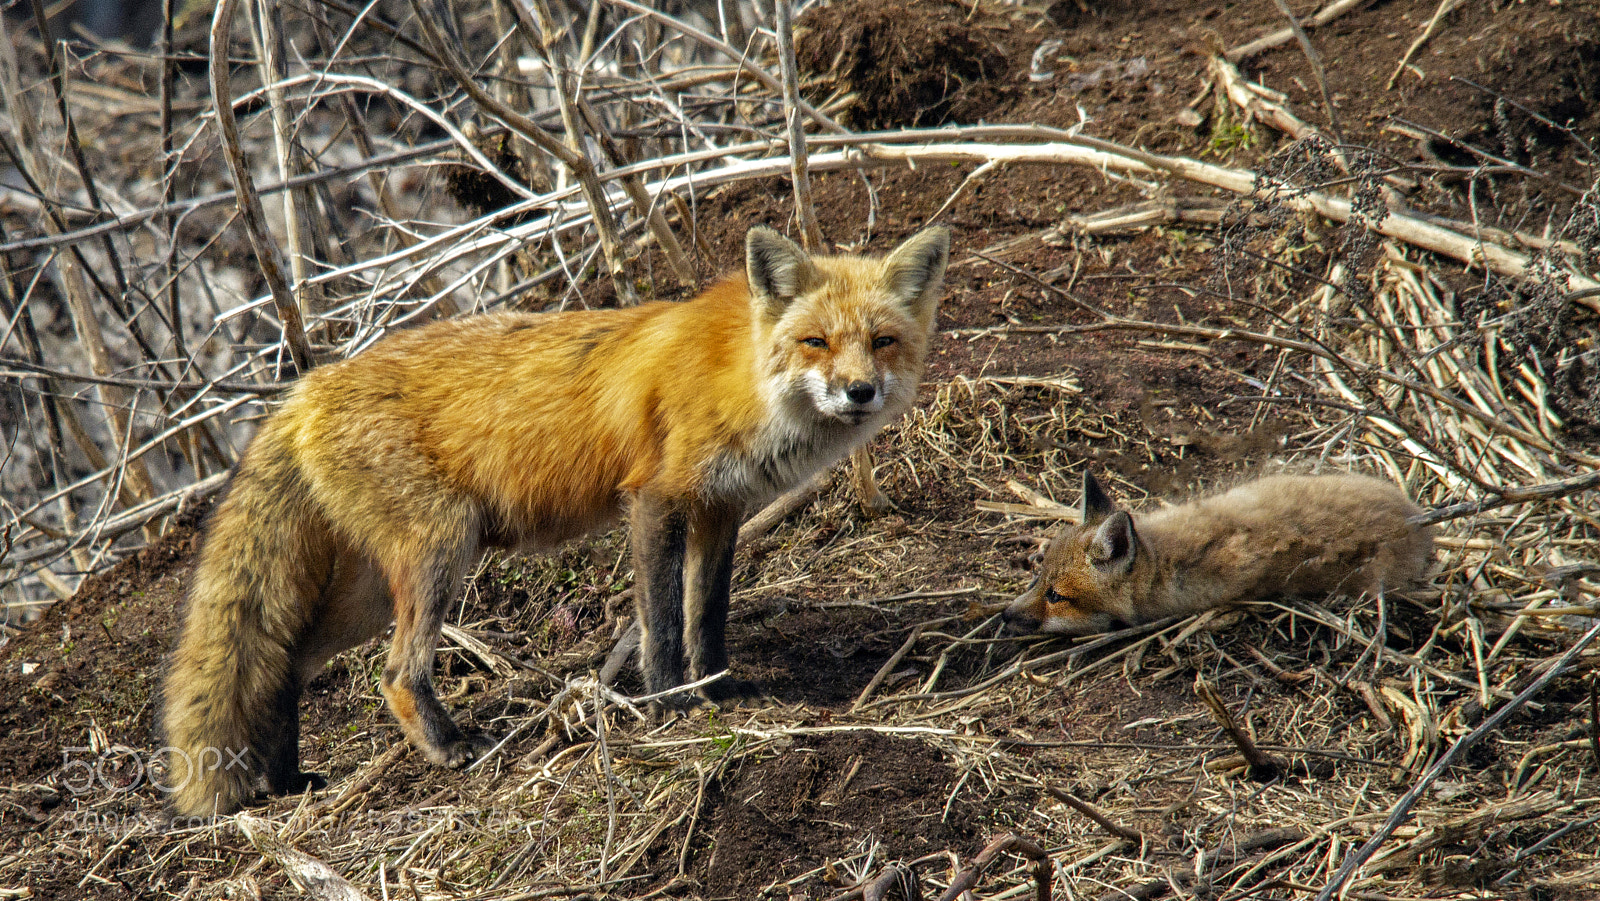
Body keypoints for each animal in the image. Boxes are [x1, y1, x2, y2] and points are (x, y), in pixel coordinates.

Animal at [162, 225, 950, 817]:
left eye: (882, 340)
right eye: (817, 342)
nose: (860, 392)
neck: (743, 375)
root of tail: (305, 387)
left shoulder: (720, 508)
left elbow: (708, 615)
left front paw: (719, 691)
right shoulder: (656, 500)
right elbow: (664, 622)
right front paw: (669, 705)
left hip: (367, 594)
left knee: (284, 666)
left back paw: (287, 781)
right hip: (440, 550)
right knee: (394, 672)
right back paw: (449, 747)